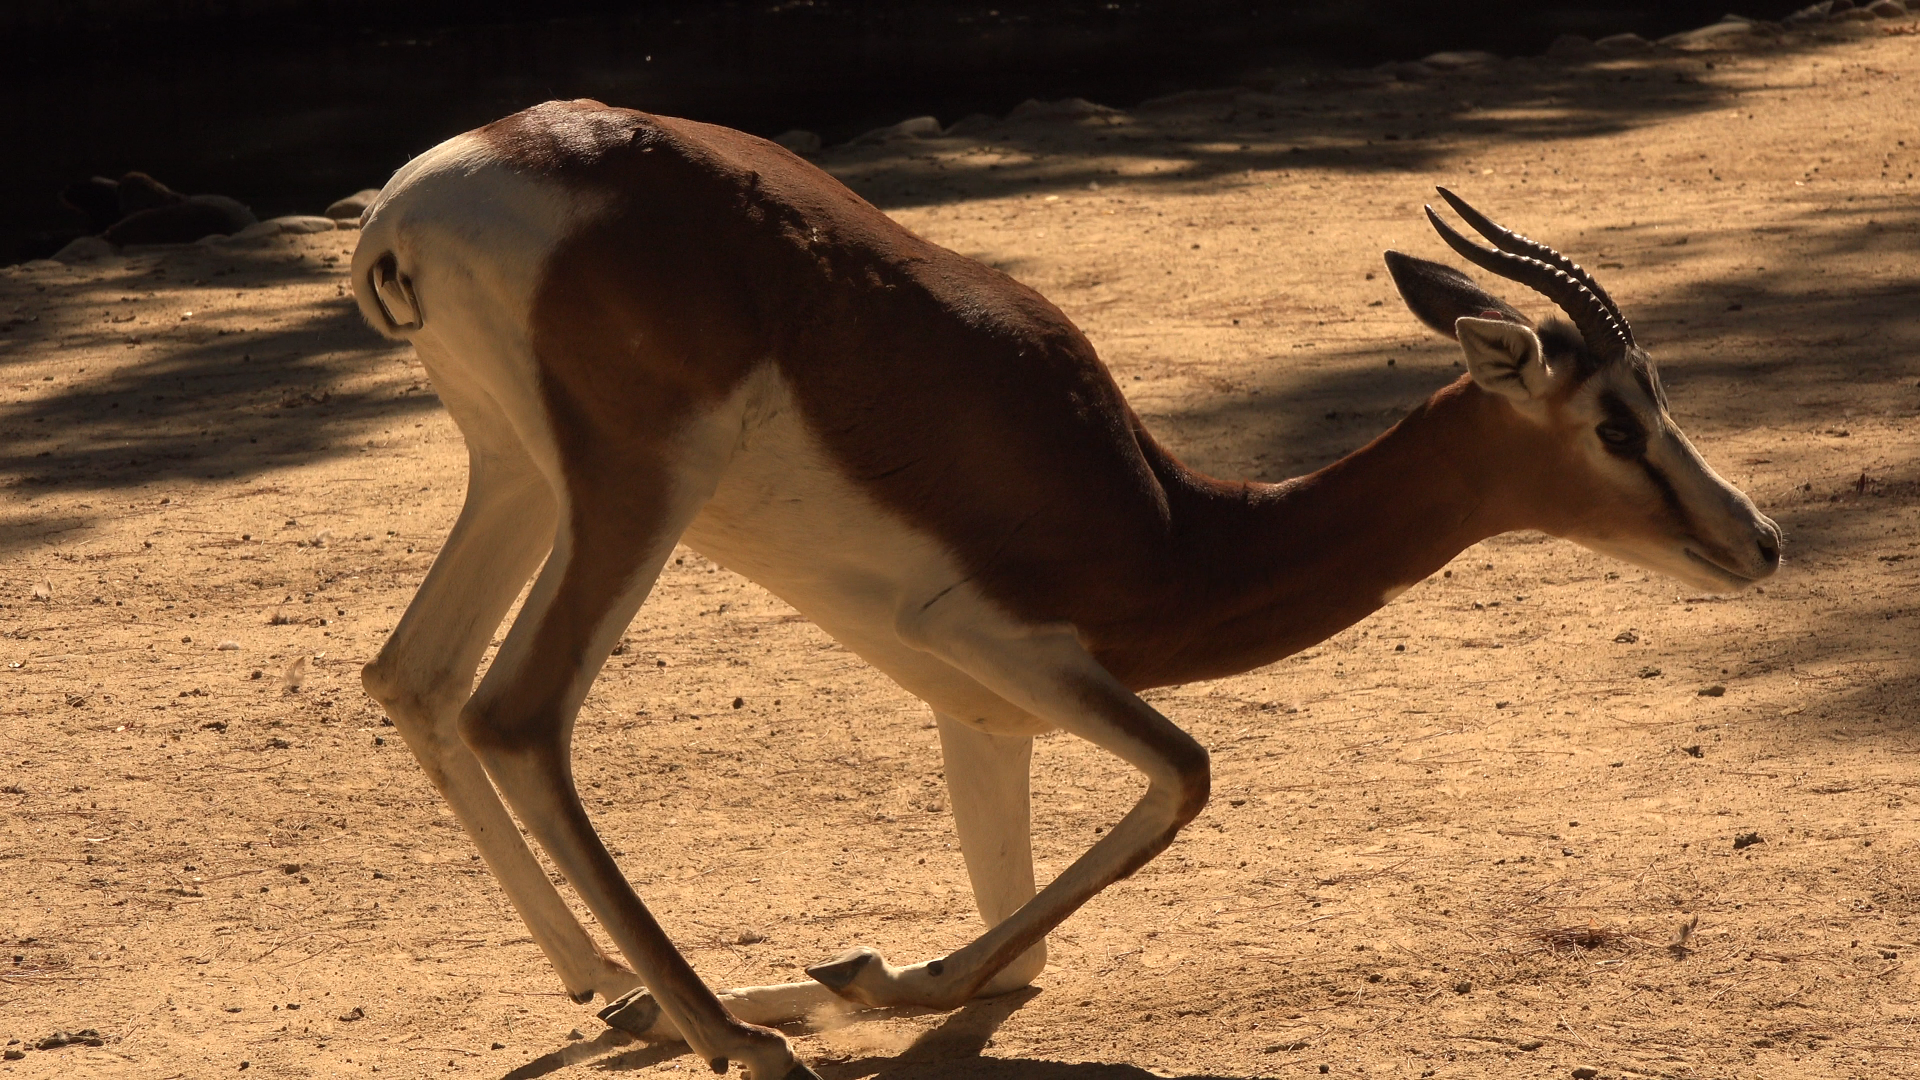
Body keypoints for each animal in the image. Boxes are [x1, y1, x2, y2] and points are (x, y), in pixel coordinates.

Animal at [350, 99, 1780, 1080]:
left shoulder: (982, 722)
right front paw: (859, 979)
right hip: (641, 483)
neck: (1175, 538)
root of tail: (420, 196)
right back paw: (736, 1044)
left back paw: (619, 988)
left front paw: (829, 976)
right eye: (1617, 422)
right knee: (516, 711)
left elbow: (1024, 953)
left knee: (414, 673)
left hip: (518, 467)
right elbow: (1187, 777)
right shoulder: (1003, 643)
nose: (1760, 540)